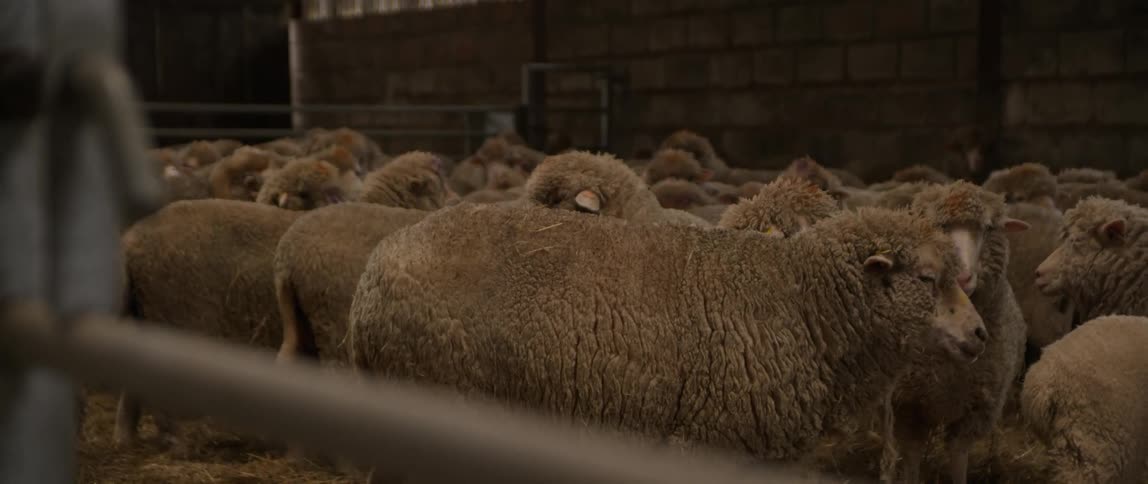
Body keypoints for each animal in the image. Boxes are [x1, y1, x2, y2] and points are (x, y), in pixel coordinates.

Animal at [883, 181, 1028, 484]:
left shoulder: (975, 412)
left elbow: (958, 460)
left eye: (988, 227)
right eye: (938, 226)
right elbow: (911, 458)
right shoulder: (908, 406)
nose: (961, 277)